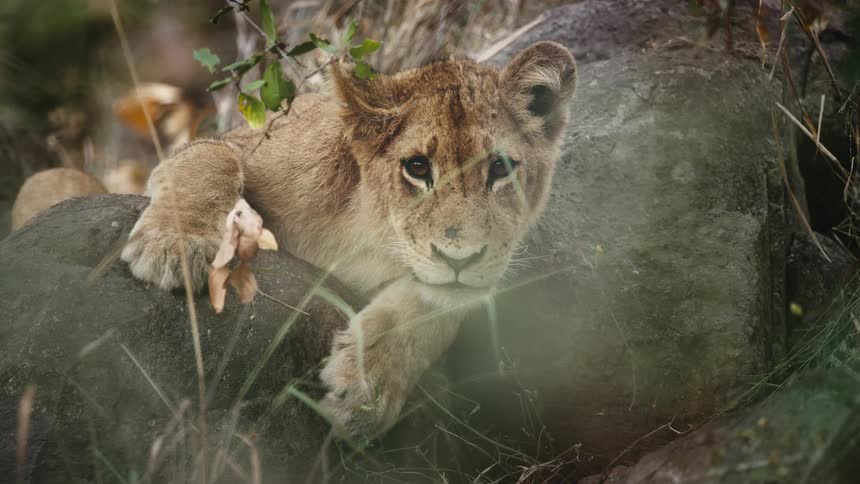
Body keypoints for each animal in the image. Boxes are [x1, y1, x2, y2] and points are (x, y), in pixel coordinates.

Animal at [121, 41, 577, 437]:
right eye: (417, 167)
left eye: (501, 168)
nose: (460, 260)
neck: (368, 231)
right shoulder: (242, 143)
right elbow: (212, 157)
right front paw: (176, 244)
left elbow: (430, 308)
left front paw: (365, 389)